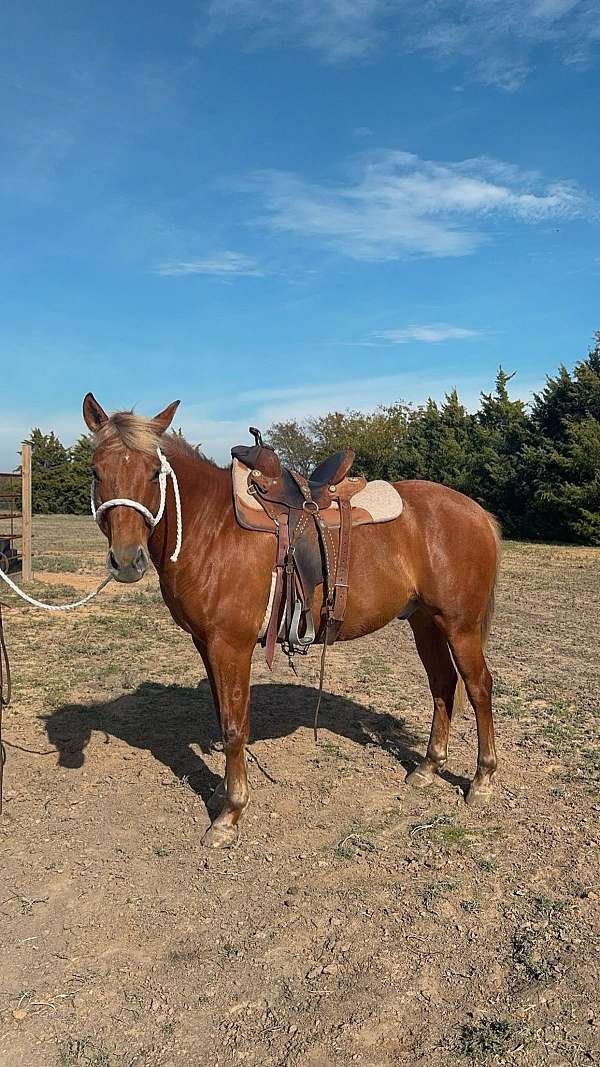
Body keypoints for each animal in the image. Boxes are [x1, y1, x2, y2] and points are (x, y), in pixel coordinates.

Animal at [81, 394, 497, 849]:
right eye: (96, 471)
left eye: (154, 473)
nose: (126, 561)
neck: (211, 528)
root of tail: (477, 512)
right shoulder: (206, 644)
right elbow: (222, 715)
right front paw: (220, 792)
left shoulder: (231, 645)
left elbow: (234, 726)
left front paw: (230, 815)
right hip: (424, 621)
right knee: (442, 684)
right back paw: (428, 768)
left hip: (459, 625)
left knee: (478, 687)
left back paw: (482, 780)